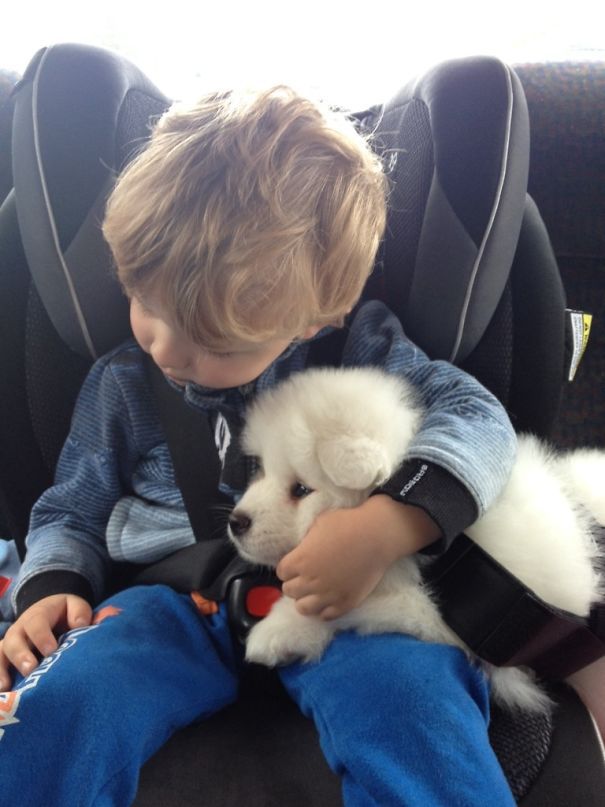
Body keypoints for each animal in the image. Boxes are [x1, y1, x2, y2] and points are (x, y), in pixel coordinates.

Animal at [228, 366, 604, 712]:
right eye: (262, 469)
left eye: (301, 490)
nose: (236, 522)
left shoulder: (446, 622)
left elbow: (352, 607)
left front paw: (277, 630)